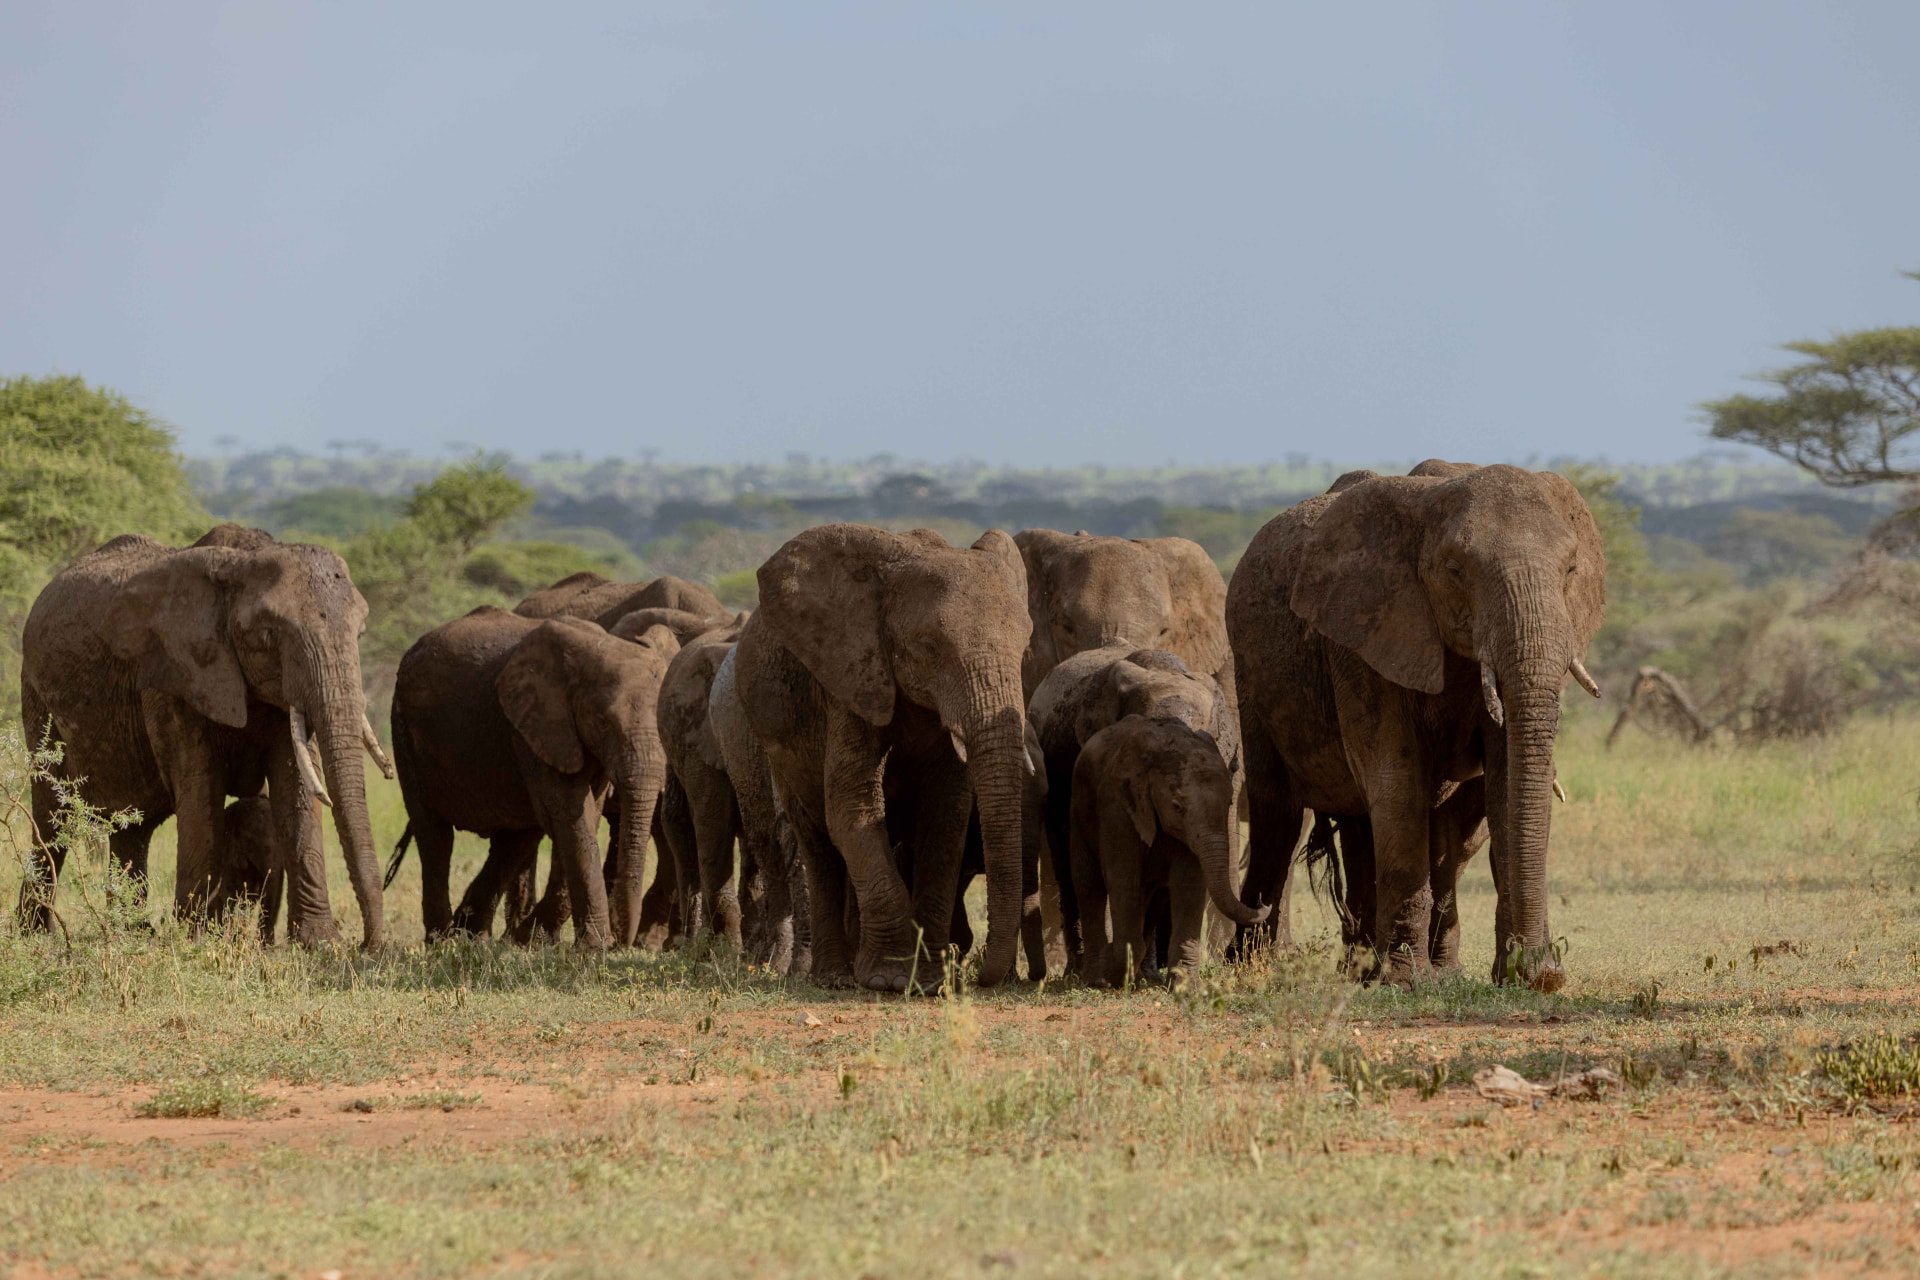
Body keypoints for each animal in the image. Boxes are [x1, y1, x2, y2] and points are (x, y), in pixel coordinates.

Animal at [18, 525, 391, 945]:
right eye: (269, 634)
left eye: (360, 633)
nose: (369, 945)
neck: (241, 562)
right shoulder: (174, 676)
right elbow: (201, 789)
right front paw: (195, 938)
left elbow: (296, 786)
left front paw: (320, 944)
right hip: (36, 697)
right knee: (51, 814)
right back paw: (36, 934)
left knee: (133, 825)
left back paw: (133, 933)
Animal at [389, 607, 681, 948]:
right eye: (602, 722)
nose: (622, 941)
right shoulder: (536, 725)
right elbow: (571, 815)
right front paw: (593, 948)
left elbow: (583, 815)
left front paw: (536, 940)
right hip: (404, 731)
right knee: (435, 835)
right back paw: (442, 940)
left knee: (514, 841)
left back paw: (471, 937)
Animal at [733, 524, 1034, 991]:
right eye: (928, 647)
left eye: (1025, 650)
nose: (980, 978)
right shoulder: (849, 679)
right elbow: (851, 807)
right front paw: (891, 980)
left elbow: (947, 815)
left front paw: (927, 981)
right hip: (777, 748)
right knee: (817, 842)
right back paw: (836, 977)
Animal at [1069, 715, 1268, 987]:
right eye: (1177, 806)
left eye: (1229, 802)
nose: (1264, 903)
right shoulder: (1117, 806)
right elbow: (1123, 878)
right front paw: (1113, 971)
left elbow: (1189, 882)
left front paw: (1186, 987)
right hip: (1078, 811)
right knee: (1090, 886)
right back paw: (1096, 979)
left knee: (1153, 897)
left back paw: (1138, 977)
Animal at [1226, 461, 1605, 991]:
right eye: (1454, 570)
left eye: (1571, 570)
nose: (1546, 975)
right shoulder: (1363, 635)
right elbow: (1397, 779)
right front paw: (1407, 984)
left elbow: (1504, 785)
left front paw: (1516, 976)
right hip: (1249, 674)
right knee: (1278, 815)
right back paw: (1254, 968)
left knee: (1381, 829)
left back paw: (1379, 971)